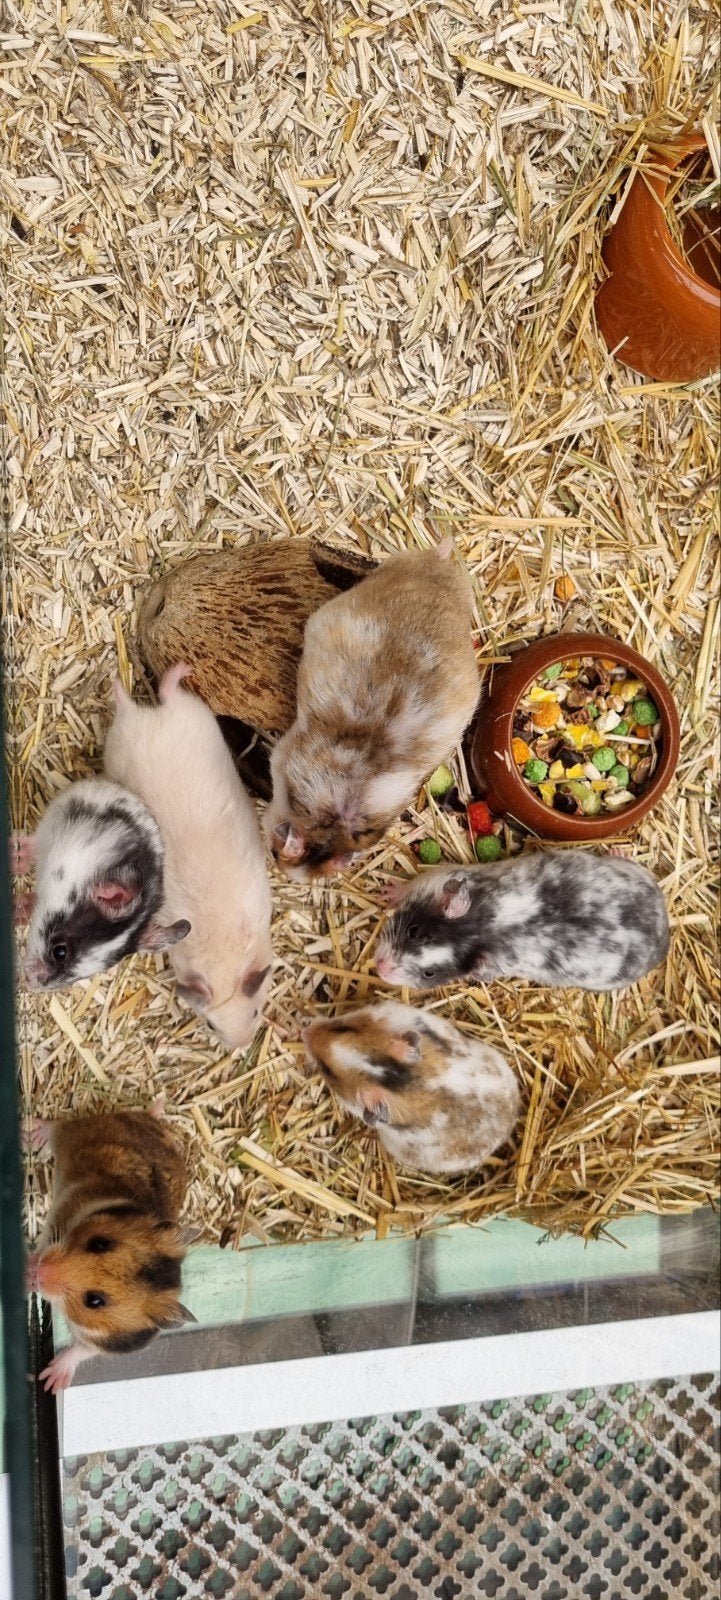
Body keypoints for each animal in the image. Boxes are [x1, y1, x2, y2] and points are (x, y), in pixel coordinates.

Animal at [26, 1104, 194, 1393]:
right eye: (99, 1243)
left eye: (94, 1301)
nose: (45, 1272)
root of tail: (148, 1121)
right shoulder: (61, 1215)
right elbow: (43, 1244)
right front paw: (29, 1273)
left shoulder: (102, 1343)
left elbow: (81, 1350)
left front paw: (50, 1383)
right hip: (74, 1133)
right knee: (56, 1125)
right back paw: (33, 1133)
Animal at [104, 665, 273, 1049]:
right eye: (211, 1025)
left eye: (256, 1012)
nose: (241, 1046)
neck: (223, 950)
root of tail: (145, 719)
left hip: (186, 715)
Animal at [375, 850, 670, 992]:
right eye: (413, 931)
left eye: (430, 974)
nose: (380, 967)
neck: (484, 927)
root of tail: (664, 925)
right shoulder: (438, 877)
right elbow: (409, 884)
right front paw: (389, 892)